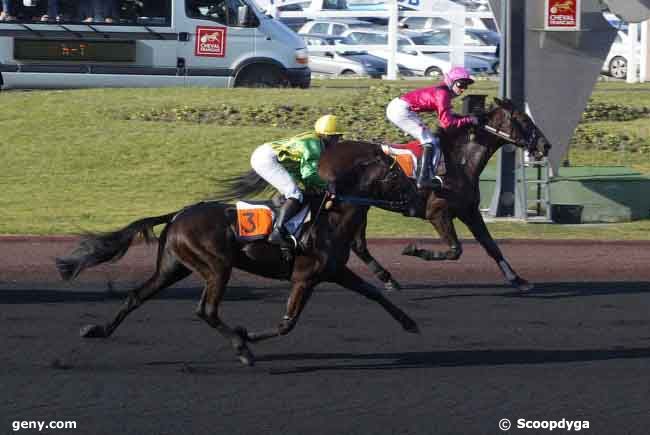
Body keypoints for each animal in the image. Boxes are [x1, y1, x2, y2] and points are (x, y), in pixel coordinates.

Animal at [57, 138, 420, 366]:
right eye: (396, 173)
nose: (418, 195)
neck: (332, 216)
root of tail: (176, 215)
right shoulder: (304, 277)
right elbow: (287, 324)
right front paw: (249, 336)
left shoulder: (334, 271)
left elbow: (374, 293)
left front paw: (410, 322)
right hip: (217, 266)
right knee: (206, 310)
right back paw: (242, 348)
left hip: (174, 267)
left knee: (136, 296)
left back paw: (98, 330)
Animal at [344, 97, 552, 292]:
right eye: (524, 120)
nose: (546, 145)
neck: (459, 162)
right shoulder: (437, 213)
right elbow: (455, 251)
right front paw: (414, 249)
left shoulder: (469, 211)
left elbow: (491, 246)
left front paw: (518, 279)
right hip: (355, 205)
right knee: (357, 244)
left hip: (361, 206)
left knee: (358, 244)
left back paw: (387, 279)